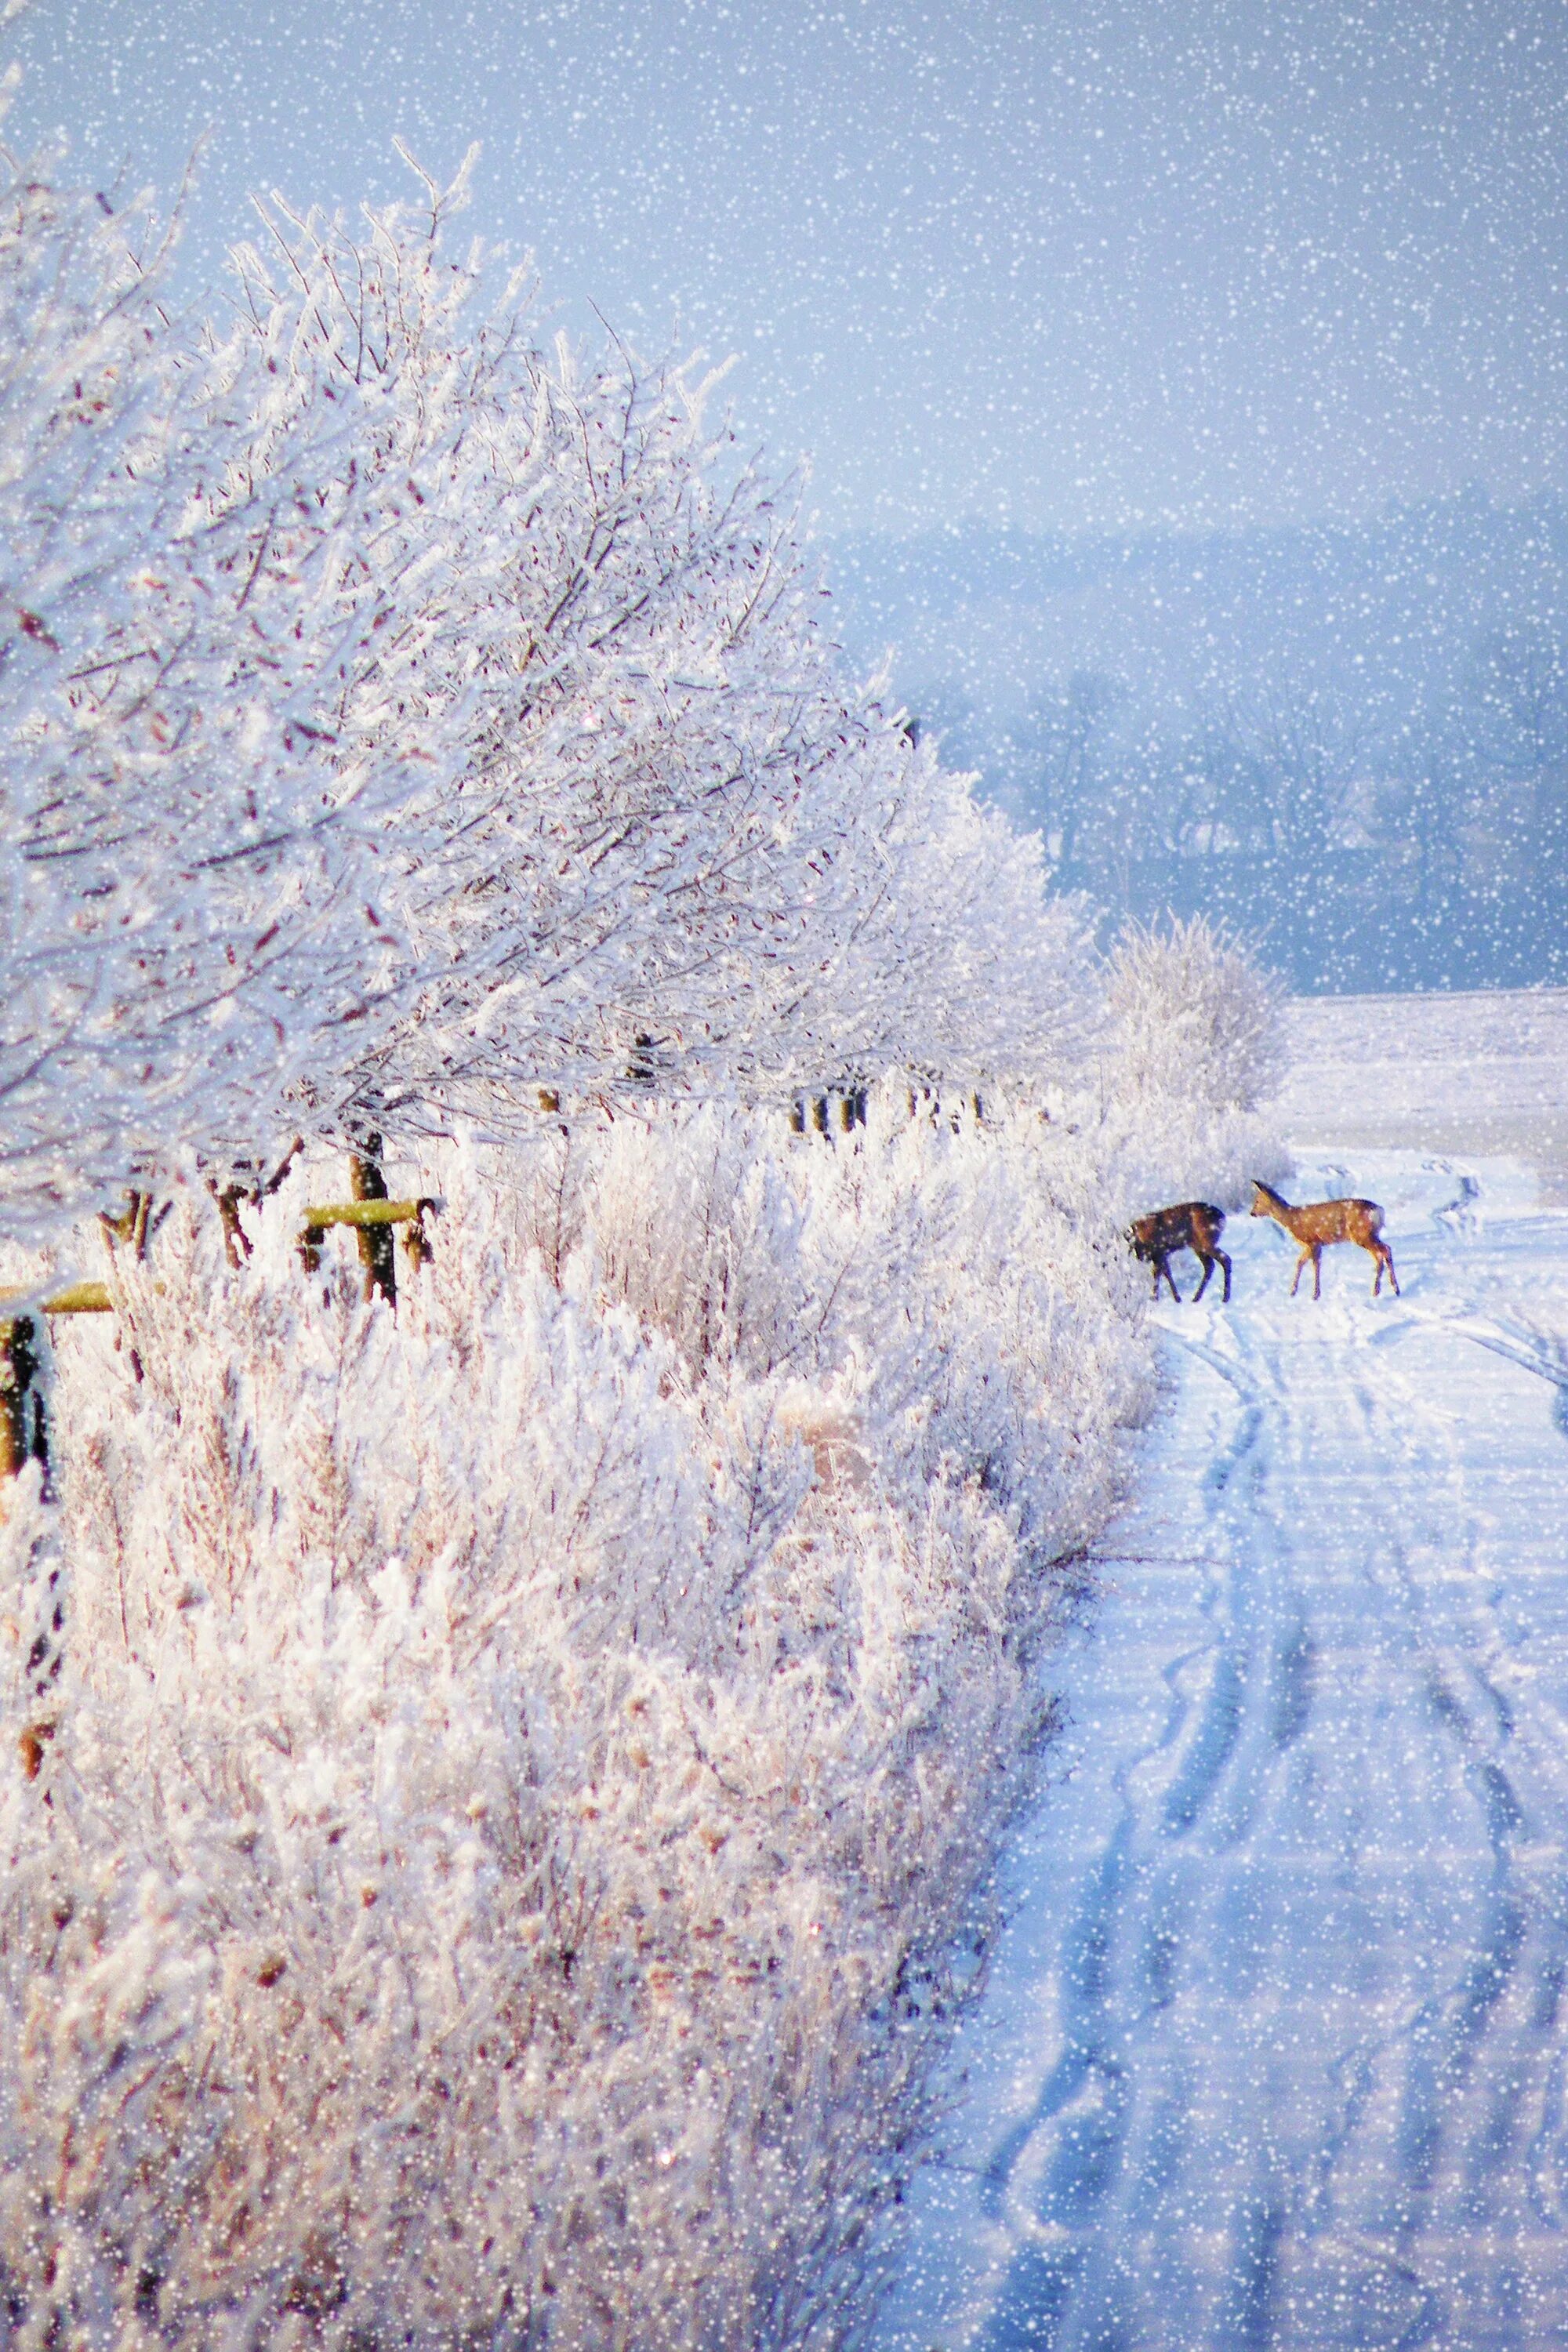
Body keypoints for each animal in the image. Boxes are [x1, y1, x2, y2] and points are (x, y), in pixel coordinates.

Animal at [1128, 1195, 1241, 1308]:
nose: (1139, 1257)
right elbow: (1163, 1272)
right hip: (1198, 1247)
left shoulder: (1159, 1252)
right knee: (1210, 1265)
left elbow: (1160, 1273)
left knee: (1225, 1259)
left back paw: (1225, 1298)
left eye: (1135, 1246)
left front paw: (1158, 1298)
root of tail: (1222, 1217)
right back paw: (1196, 1298)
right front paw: (1170, 1298)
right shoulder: (1160, 1255)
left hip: (1207, 1243)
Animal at [1250, 1176, 1401, 1308]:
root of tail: (1379, 1210)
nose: (1252, 1213)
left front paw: (1314, 1295)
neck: (1291, 1220)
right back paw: (1391, 1290)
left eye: (1257, 1201)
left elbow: (1314, 1265)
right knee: (1384, 1252)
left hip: (1361, 1235)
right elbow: (1302, 1263)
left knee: (1383, 1251)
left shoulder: (1312, 1241)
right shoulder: (1313, 1245)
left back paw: (1381, 1290)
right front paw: (1294, 1292)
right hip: (1372, 1235)